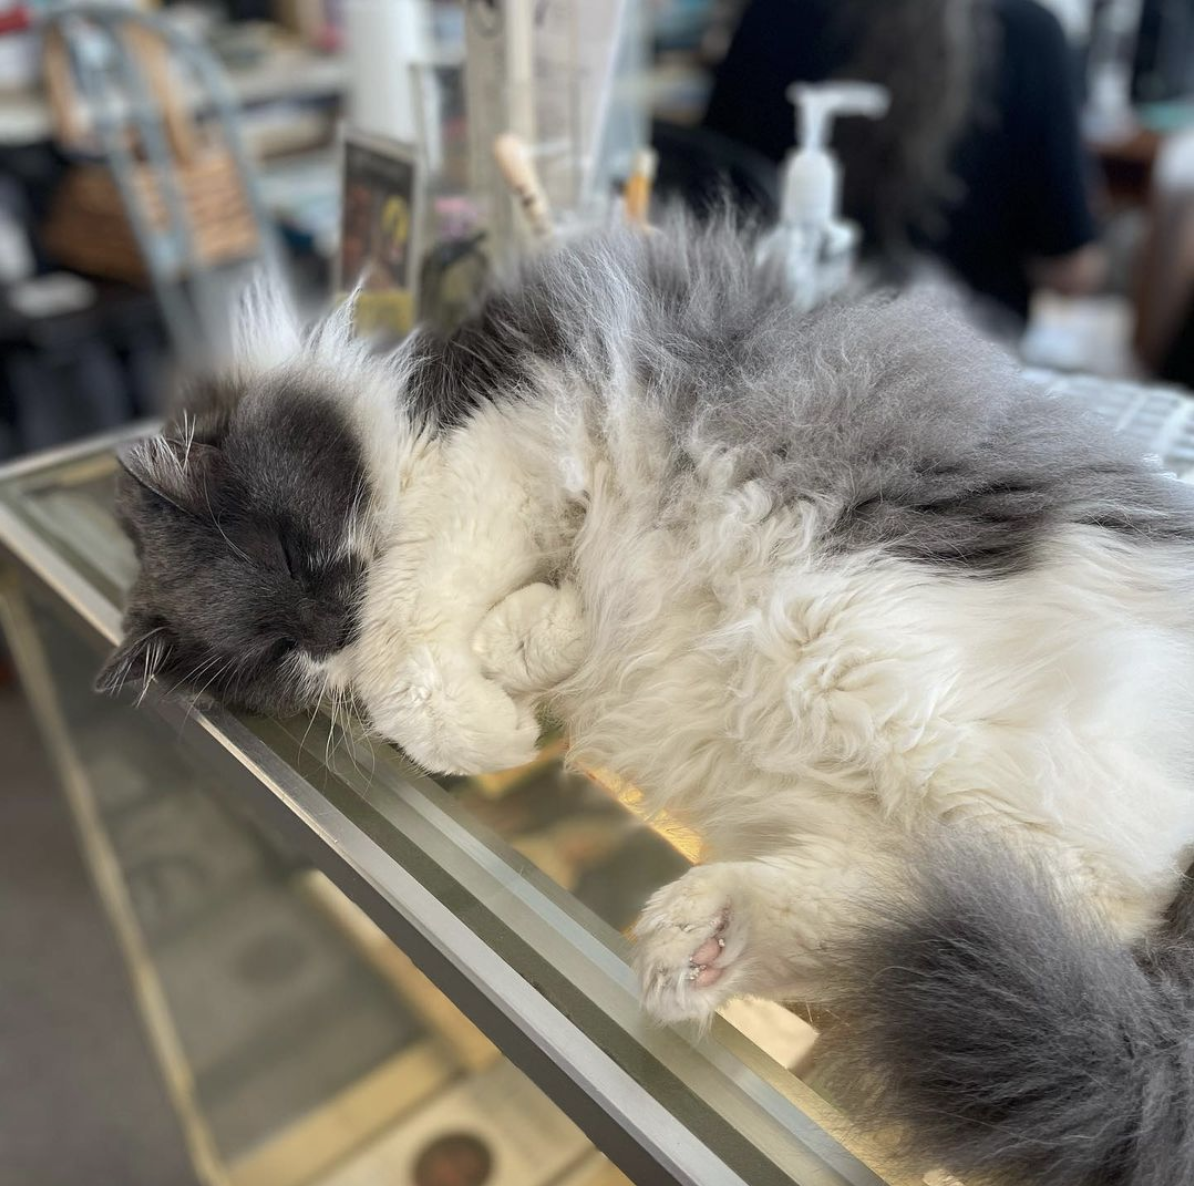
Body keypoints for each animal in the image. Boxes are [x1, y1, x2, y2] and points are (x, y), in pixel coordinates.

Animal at [97, 222, 1194, 1184]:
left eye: (290, 552)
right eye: (274, 652)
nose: (327, 632)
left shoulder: (494, 451)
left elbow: (415, 649)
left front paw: (500, 702)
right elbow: (471, 661)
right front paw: (528, 669)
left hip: (876, 667)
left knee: (1054, 895)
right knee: (910, 907)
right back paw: (698, 943)